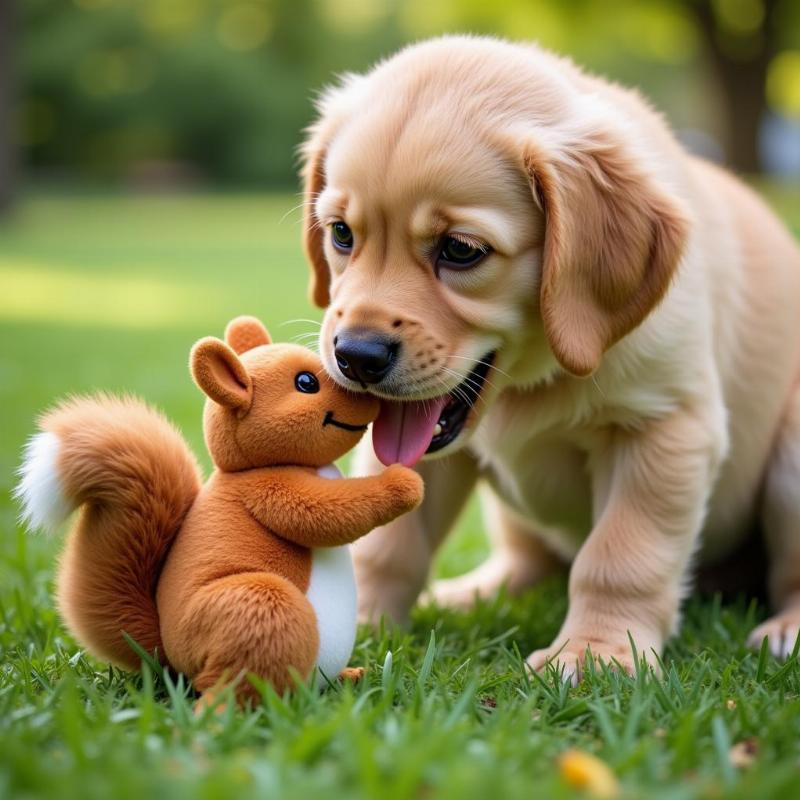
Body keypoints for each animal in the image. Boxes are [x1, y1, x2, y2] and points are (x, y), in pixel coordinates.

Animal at [298, 34, 800, 680]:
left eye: (461, 249)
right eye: (341, 234)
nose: (355, 356)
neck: (533, 377)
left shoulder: (665, 428)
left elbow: (620, 555)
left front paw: (595, 654)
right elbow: (389, 542)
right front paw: (361, 622)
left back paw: (787, 631)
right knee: (526, 562)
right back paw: (465, 595)